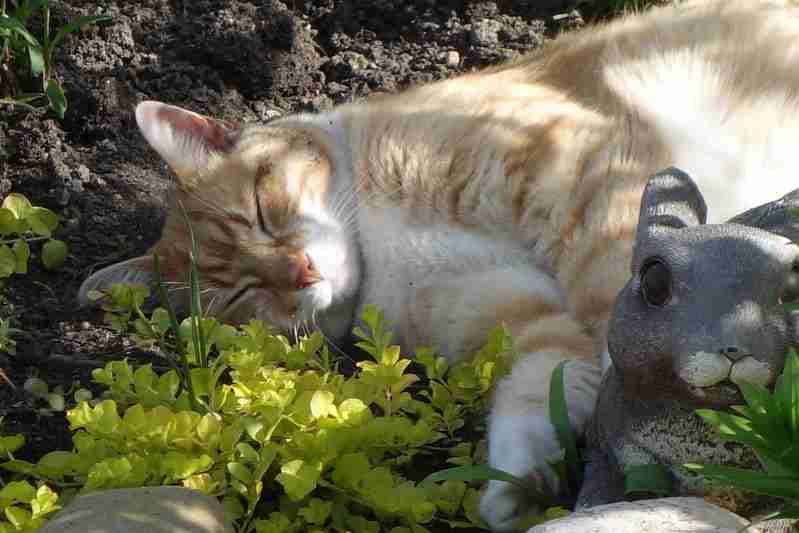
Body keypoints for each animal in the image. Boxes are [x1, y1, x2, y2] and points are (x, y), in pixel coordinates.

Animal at [78, 2, 799, 528]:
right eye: (238, 294)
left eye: (261, 208)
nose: (302, 273)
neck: (377, 240)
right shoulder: (515, 316)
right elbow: (543, 381)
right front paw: (520, 483)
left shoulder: (585, 181)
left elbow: (616, 296)